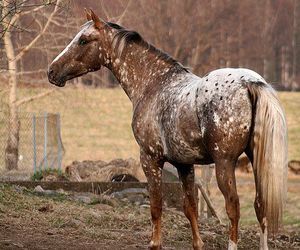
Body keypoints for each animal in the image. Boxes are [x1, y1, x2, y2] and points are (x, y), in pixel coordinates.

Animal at [47, 10, 288, 250]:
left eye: (83, 40)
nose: (51, 71)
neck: (153, 84)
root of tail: (250, 83)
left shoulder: (150, 159)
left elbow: (156, 205)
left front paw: (155, 242)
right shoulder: (184, 164)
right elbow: (190, 207)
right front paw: (197, 243)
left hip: (225, 163)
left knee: (233, 207)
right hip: (256, 161)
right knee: (260, 206)